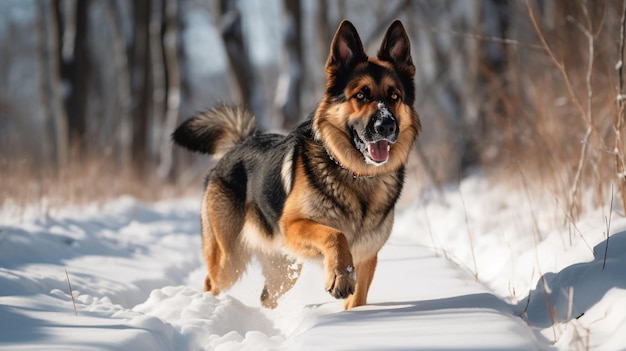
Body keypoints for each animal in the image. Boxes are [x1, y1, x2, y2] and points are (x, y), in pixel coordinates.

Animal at [173, 20, 420, 310]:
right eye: (361, 95)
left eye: (394, 96)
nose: (387, 126)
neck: (357, 176)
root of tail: (238, 144)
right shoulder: (293, 226)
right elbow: (336, 235)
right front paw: (339, 276)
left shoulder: (367, 257)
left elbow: (356, 300)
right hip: (229, 261)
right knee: (210, 282)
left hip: (284, 269)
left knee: (266, 296)